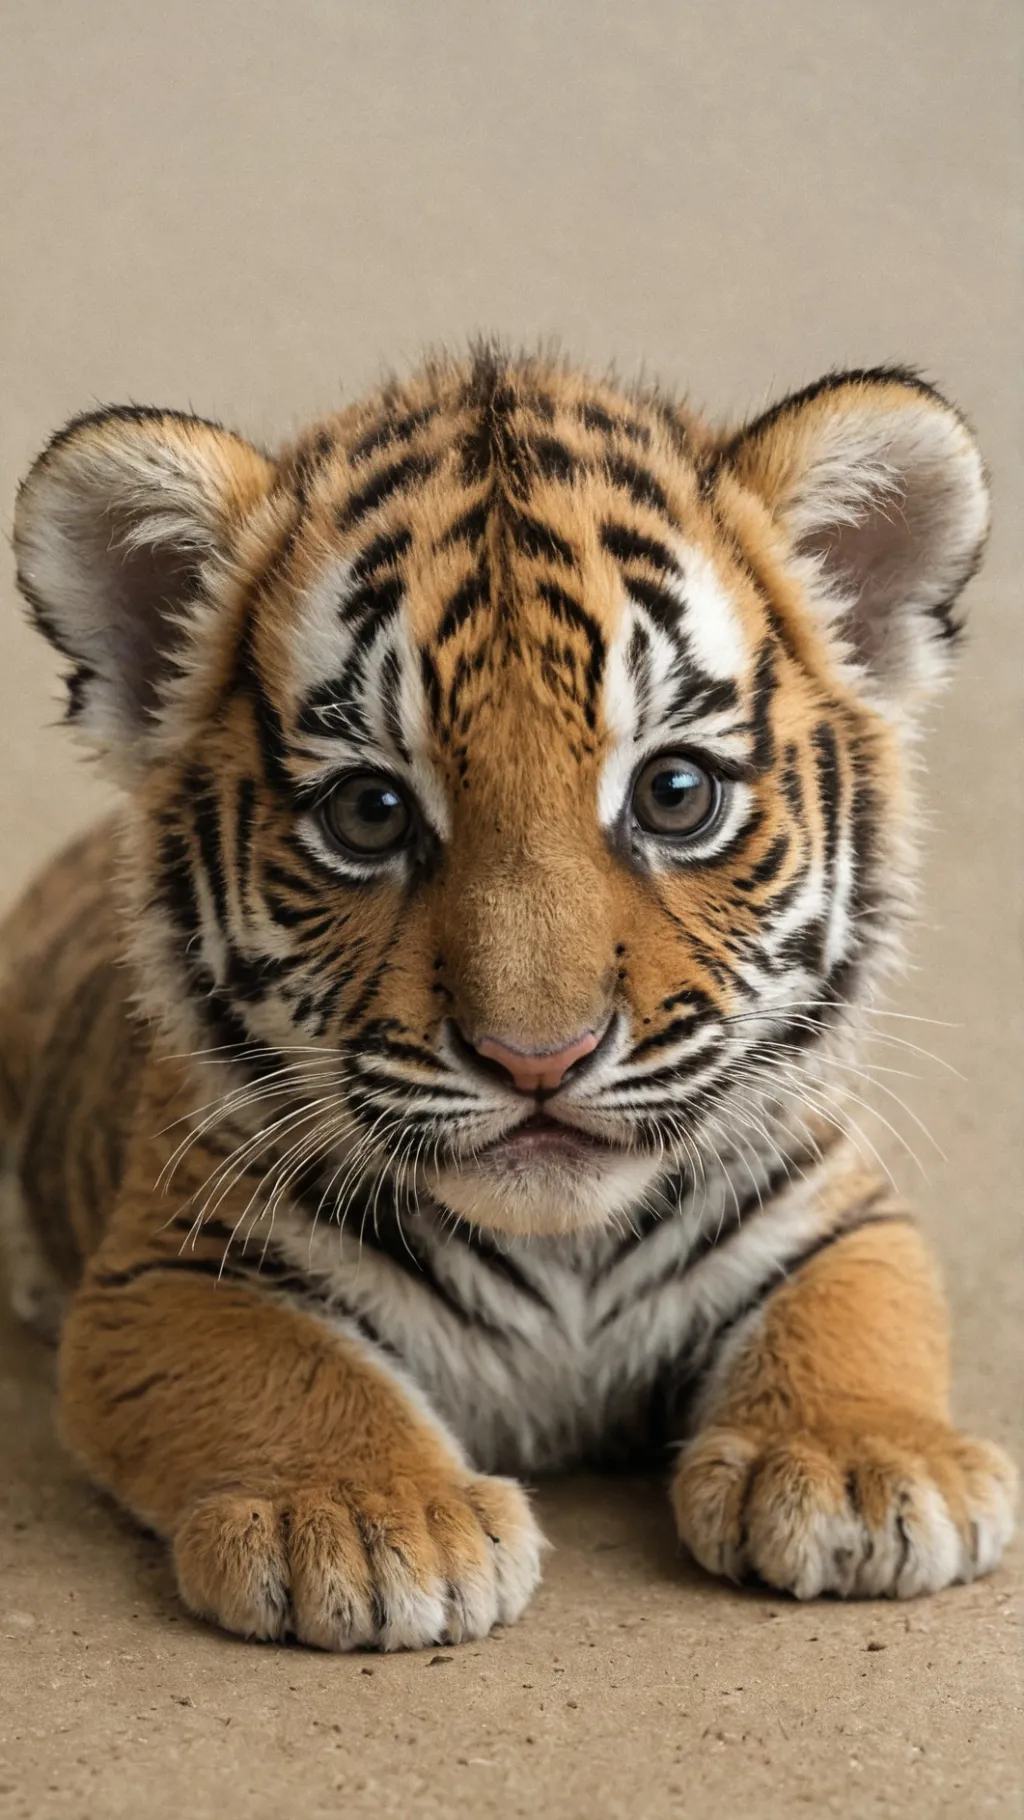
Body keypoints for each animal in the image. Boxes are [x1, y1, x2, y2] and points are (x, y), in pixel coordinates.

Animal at [0, 346, 1016, 1653]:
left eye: (675, 793)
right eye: (370, 812)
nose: (539, 1056)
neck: (562, 1256)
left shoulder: (834, 1204)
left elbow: (857, 1309)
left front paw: (863, 1465)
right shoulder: (170, 1268)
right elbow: (285, 1367)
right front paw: (364, 1517)